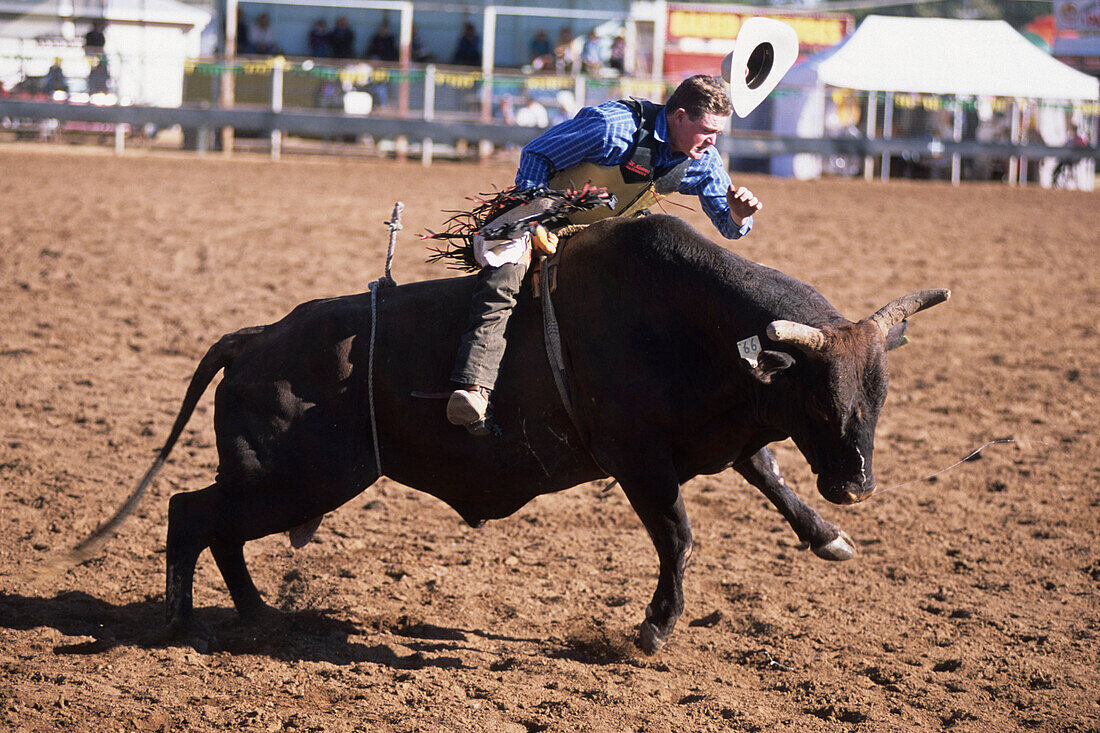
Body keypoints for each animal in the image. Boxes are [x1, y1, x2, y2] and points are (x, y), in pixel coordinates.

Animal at [73, 211, 950, 651]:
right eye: (820, 395)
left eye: (878, 393)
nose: (856, 482)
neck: (684, 319)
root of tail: (256, 337)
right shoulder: (639, 460)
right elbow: (678, 535)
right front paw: (652, 629)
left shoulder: (722, 436)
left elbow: (768, 475)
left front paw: (829, 534)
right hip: (287, 478)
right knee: (190, 513)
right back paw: (182, 620)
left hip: (281, 483)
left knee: (217, 528)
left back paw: (256, 612)